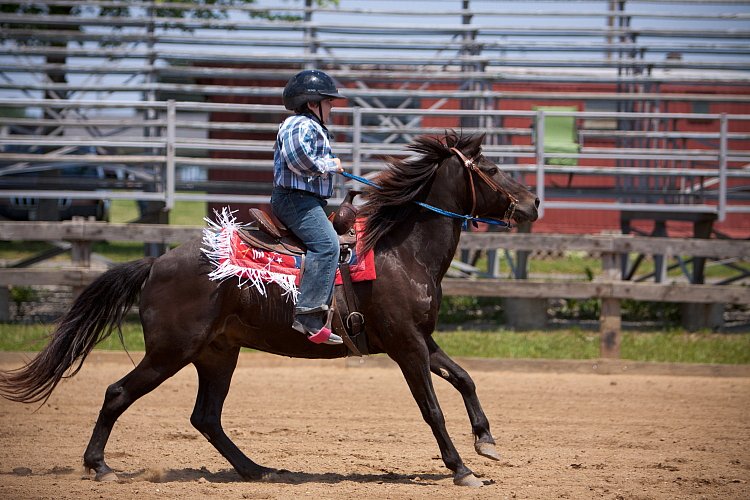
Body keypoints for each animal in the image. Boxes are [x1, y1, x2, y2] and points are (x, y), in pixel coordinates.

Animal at [0, 132, 540, 488]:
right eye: (494, 170)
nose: (533, 203)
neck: (402, 252)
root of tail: (157, 262)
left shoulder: (420, 339)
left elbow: (464, 378)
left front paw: (486, 441)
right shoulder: (405, 345)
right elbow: (431, 407)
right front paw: (462, 468)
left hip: (217, 354)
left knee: (206, 417)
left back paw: (256, 469)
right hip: (171, 352)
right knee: (118, 394)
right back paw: (99, 466)